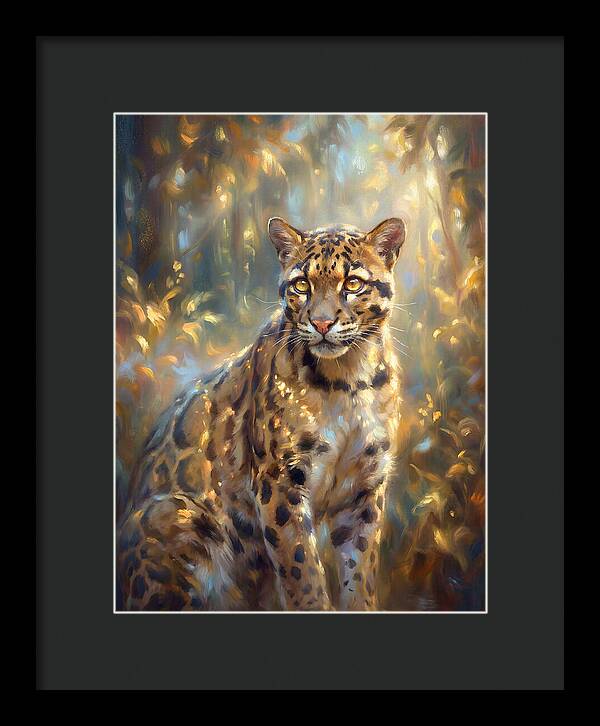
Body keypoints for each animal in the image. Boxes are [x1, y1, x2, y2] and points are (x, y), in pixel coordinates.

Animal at [116, 216, 406, 611]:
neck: (348, 381)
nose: (322, 323)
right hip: (176, 515)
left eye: (352, 283)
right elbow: (302, 570)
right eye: (302, 284)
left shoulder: (365, 486)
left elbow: (359, 571)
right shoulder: (280, 480)